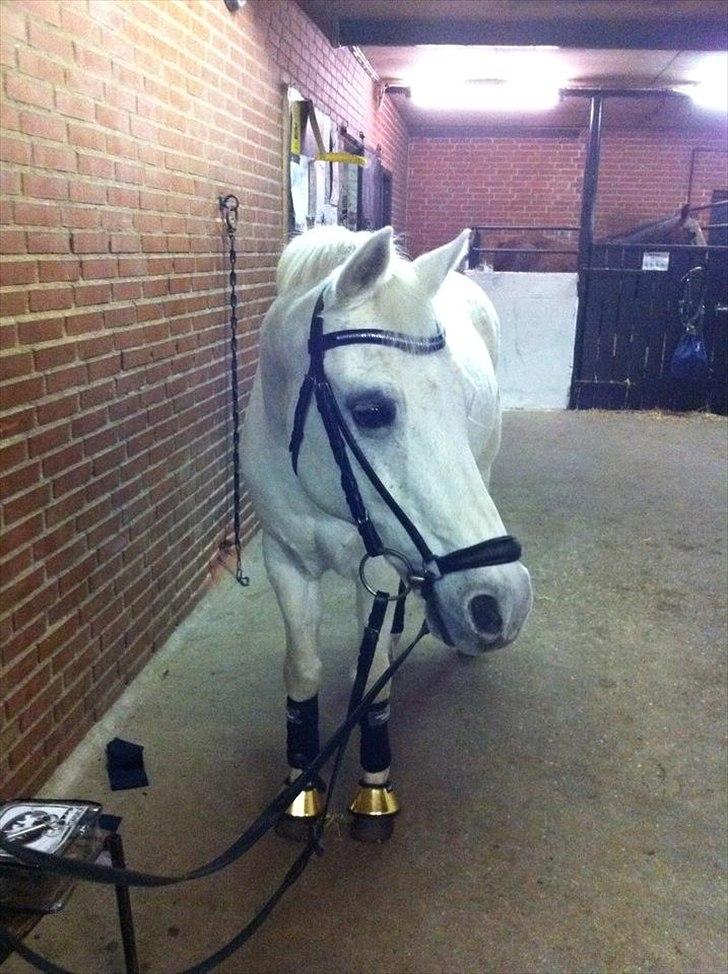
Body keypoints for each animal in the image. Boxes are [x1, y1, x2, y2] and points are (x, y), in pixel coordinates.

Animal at [241, 225, 533, 841]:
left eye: (460, 401)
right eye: (371, 410)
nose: (505, 603)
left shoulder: (379, 568)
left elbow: (371, 673)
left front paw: (374, 791)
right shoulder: (284, 559)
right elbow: (301, 671)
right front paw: (301, 793)